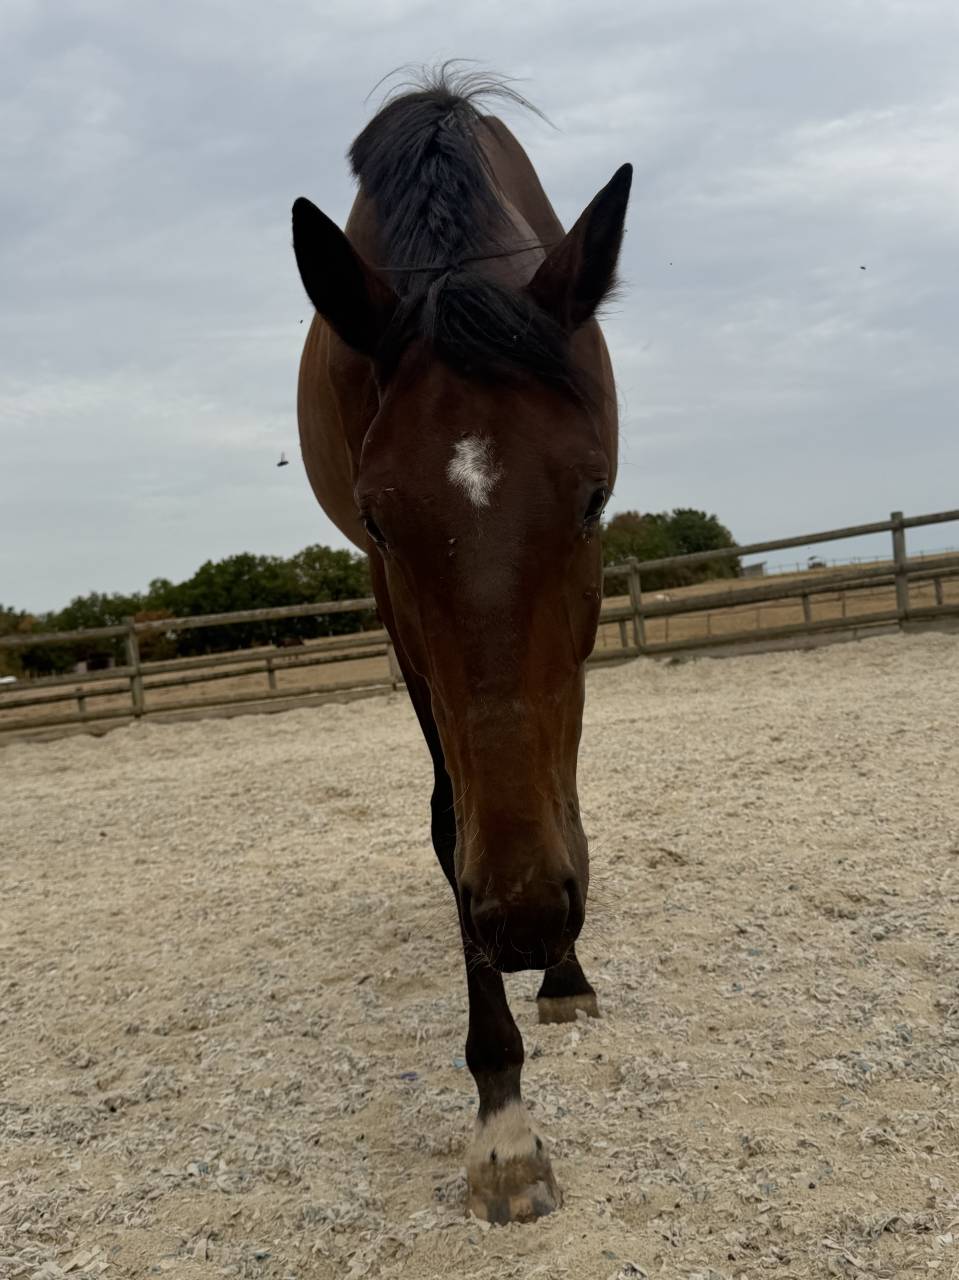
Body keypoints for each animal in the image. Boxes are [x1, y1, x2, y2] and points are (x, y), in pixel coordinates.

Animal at [292, 67, 631, 1224]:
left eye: (591, 496)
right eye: (382, 519)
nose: (524, 919)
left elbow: (561, 766)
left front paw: (564, 966)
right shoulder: (395, 613)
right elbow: (451, 821)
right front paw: (503, 1118)